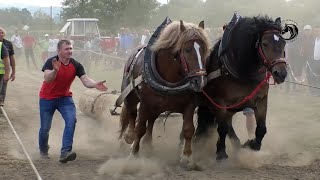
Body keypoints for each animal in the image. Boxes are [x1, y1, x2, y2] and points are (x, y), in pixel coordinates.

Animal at [119, 20, 211, 169]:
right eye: (187, 50)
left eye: (205, 50)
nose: (200, 81)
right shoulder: (145, 103)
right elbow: (140, 128)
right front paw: (133, 154)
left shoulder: (190, 105)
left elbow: (188, 129)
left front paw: (187, 157)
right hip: (131, 95)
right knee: (132, 113)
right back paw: (129, 136)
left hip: (156, 107)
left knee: (151, 120)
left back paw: (148, 145)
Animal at [195, 14, 288, 160]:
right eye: (264, 44)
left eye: (283, 43)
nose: (281, 73)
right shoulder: (220, 103)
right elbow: (222, 129)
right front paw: (221, 153)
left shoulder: (261, 100)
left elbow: (261, 129)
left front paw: (253, 145)